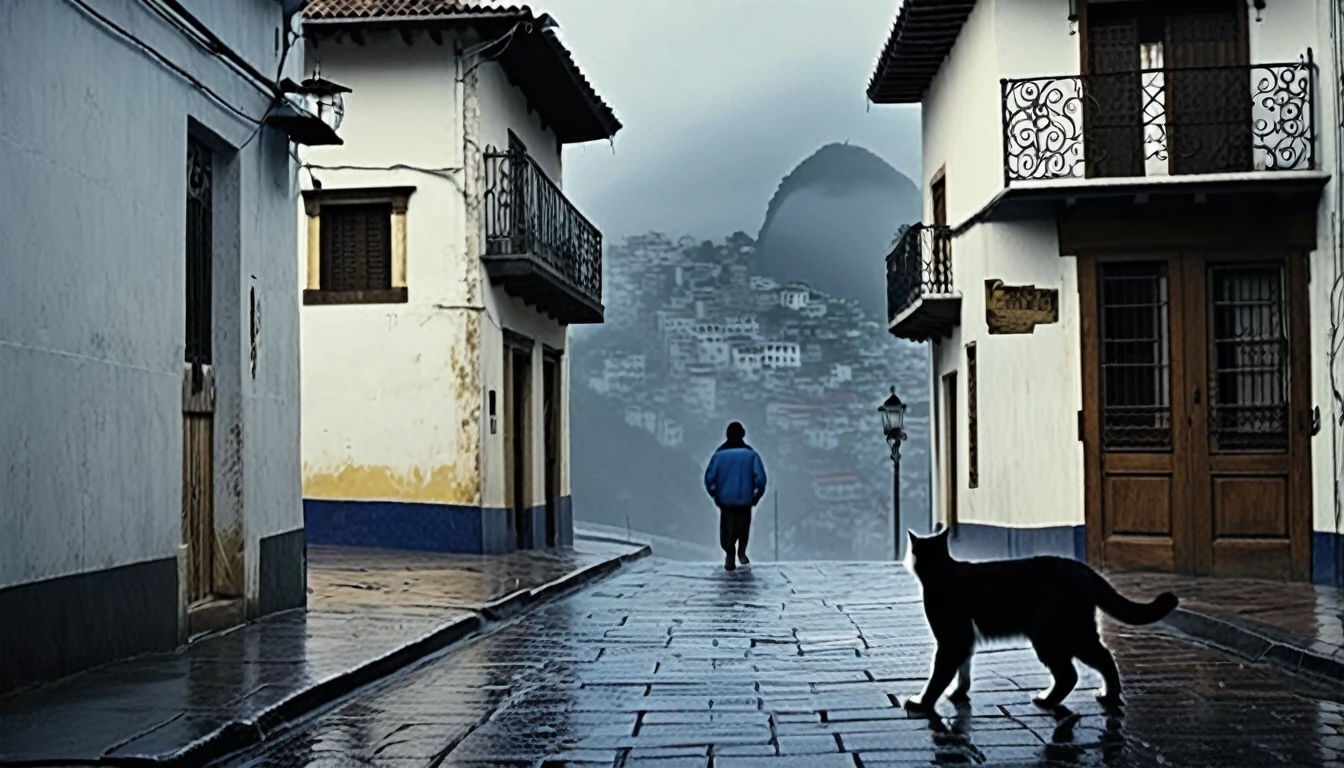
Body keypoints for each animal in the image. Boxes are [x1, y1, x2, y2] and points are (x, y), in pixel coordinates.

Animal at [903, 529, 1177, 715]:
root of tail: (1083, 569)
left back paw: (1052, 700)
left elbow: (939, 675)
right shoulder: (964, 640)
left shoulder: (951, 640)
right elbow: (964, 668)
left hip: (1053, 635)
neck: (941, 572)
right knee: (1095, 662)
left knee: (1075, 672)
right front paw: (959, 693)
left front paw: (922, 702)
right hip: (1073, 633)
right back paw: (1101, 696)